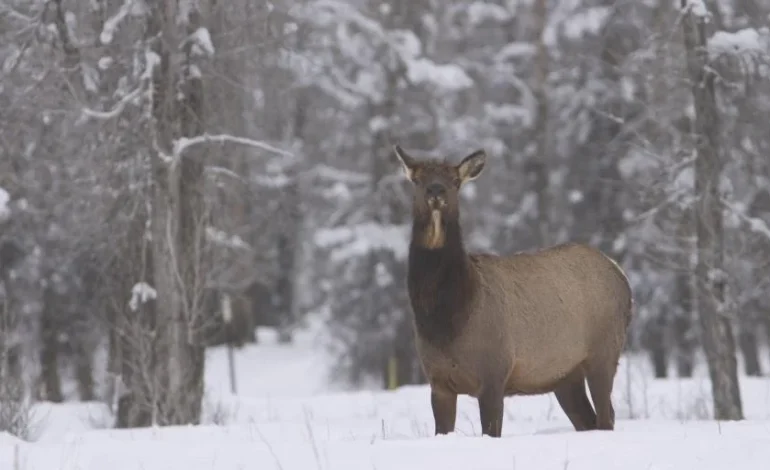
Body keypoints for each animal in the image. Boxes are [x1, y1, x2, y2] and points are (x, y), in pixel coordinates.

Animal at [392, 146, 632, 436]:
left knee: (607, 418)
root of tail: (621, 274)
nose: (436, 190)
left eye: (455, 181)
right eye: (416, 179)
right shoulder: (438, 381)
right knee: (589, 420)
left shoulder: (495, 372)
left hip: (604, 351)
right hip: (565, 375)